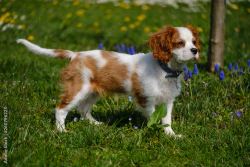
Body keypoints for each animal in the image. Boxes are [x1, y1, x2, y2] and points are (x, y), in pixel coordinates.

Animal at [16, 25, 200, 137]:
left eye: (194, 42)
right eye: (179, 43)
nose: (195, 50)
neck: (165, 69)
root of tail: (75, 55)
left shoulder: (168, 100)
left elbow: (166, 120)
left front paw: (171, 135)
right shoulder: (145, 99)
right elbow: (153, 116)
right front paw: (155, 131)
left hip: (93, 91)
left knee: (83, 109)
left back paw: (96, 124)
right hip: (78, 88)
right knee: (61, 108)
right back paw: (62, 131)